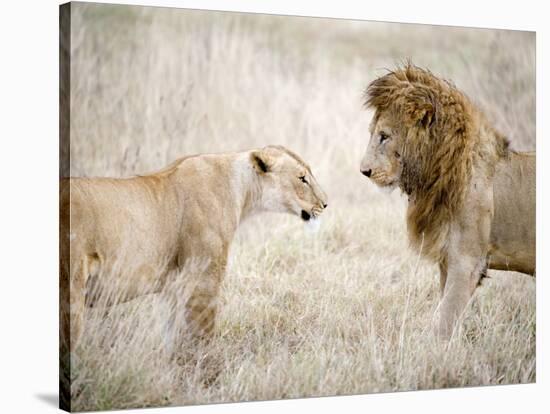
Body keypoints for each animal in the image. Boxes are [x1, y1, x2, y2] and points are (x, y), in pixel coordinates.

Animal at [60, 144, 328, 354]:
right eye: (302, 178)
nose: (325, 204)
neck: (242, 191)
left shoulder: (172, 287)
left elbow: (170, 337)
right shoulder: (204, 281)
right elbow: (203, 337)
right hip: (71, 294)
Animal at [360, 64, 536, 336]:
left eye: (384, 136)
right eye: (373, 134)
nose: (363, 171)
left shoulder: (467, 262)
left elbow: (445, 321)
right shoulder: (447, 260)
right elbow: (444, 312)